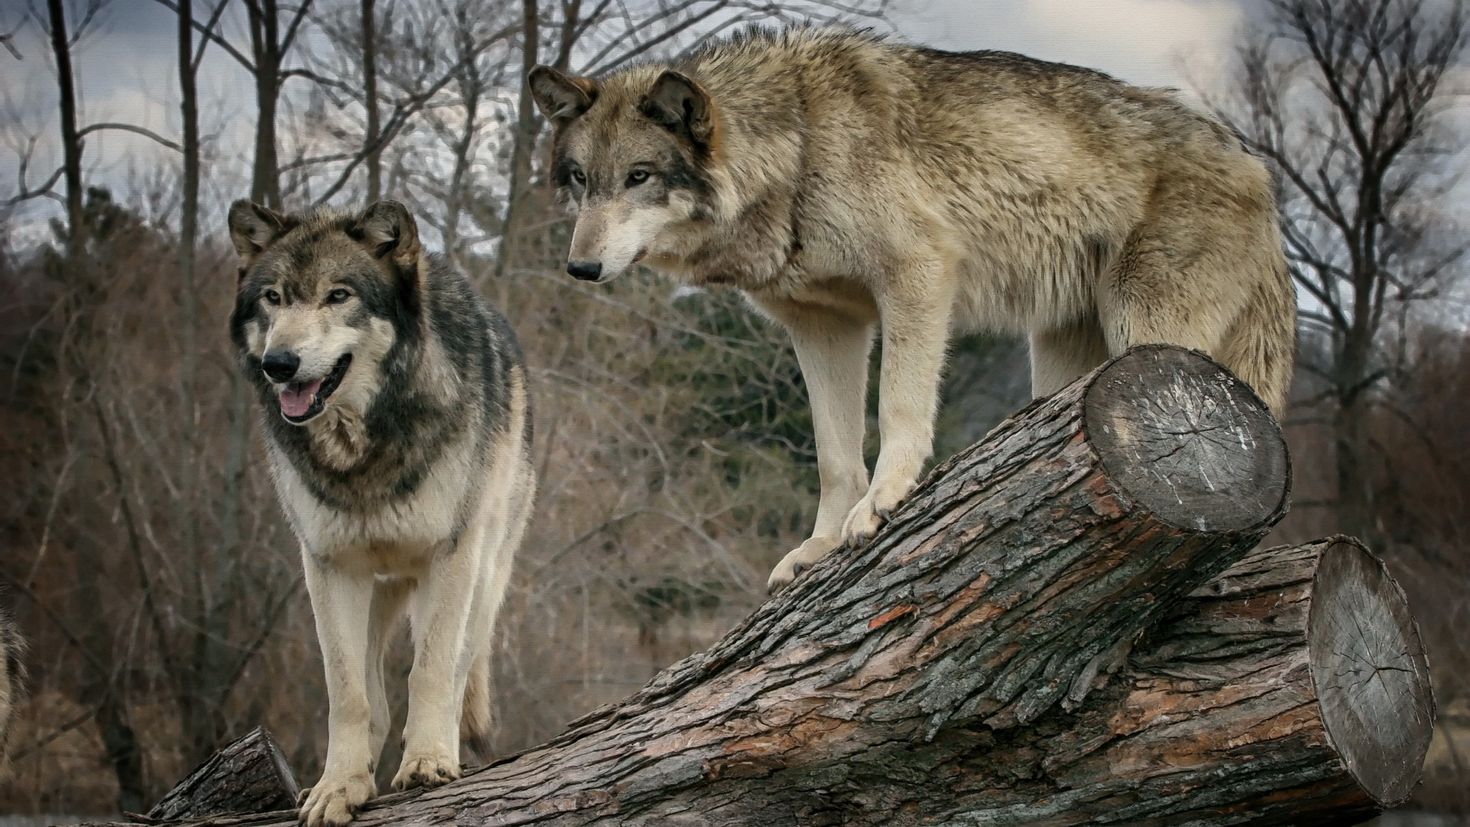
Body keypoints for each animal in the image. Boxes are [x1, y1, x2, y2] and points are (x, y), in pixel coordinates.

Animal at [224, 196, 535, 822]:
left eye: (338, 295)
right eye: (273, 298)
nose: (280, 363)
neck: (362, 449)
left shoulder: (451, 556)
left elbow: (431, 669)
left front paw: (428, 762)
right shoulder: (329, 566)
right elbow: (347, 692)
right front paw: (340, 784)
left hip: (484, 575)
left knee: (459, 666)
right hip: (374, 589)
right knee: (372, 693)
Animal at [535, 25, 1293, 593]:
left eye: (639, 177)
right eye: (581, 180)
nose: (579, 267)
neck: (797, 149)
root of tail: (1258, 168)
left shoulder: (917, 275)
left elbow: (898, 406)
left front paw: (884, 503)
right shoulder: (825, 326)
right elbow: (834, 455)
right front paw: (819, 545)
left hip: (1145, 335)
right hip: (1063, 373)